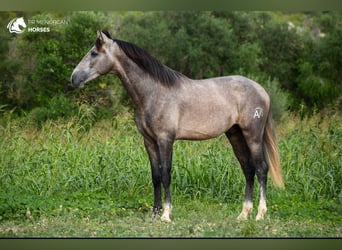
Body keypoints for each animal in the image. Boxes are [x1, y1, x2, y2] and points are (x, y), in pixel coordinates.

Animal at [70, 31, 284, 223]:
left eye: (94, 53)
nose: (73, 78)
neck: (153, 93)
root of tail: (262, 91)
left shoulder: (166, 139)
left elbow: (166, 174)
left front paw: (166, 214)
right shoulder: (149, 141)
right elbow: (155, 175)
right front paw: (154, 213)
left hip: (253, 135)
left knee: (261, 169)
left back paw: (260, 214)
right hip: (235, 135)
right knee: (248, 169)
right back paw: (243, 214)